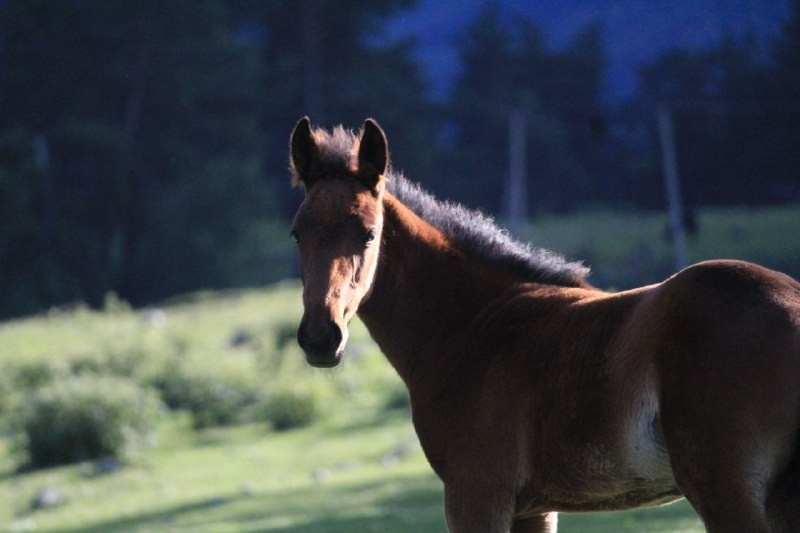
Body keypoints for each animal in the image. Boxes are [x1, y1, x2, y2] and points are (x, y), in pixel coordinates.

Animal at [288, 116, 800, 532]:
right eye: (297, 233)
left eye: (369, 234)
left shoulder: (477, 492)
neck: (471, 326)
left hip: (727, 491)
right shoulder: (534, 507)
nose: (320, 338)